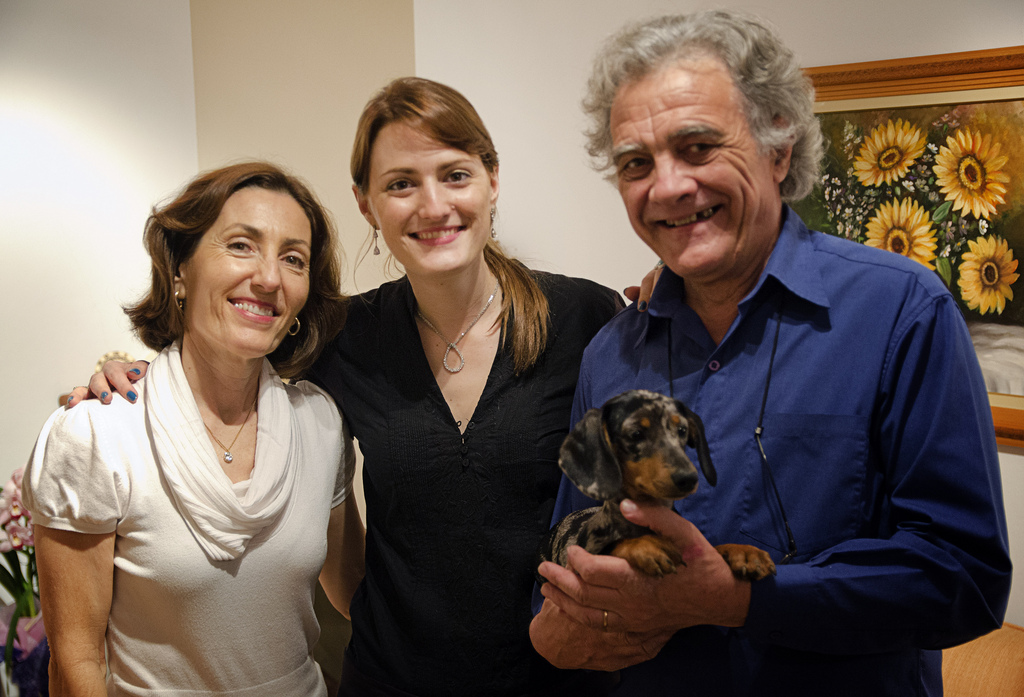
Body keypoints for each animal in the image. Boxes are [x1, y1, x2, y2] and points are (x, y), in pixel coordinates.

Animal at [540, 390, 770, 581]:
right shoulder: (581, 563)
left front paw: (743, 551)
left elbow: (714, 547)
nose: (688, 479)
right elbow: (614, 545)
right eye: (636, 434)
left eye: (682, 430)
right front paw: (645, 545)